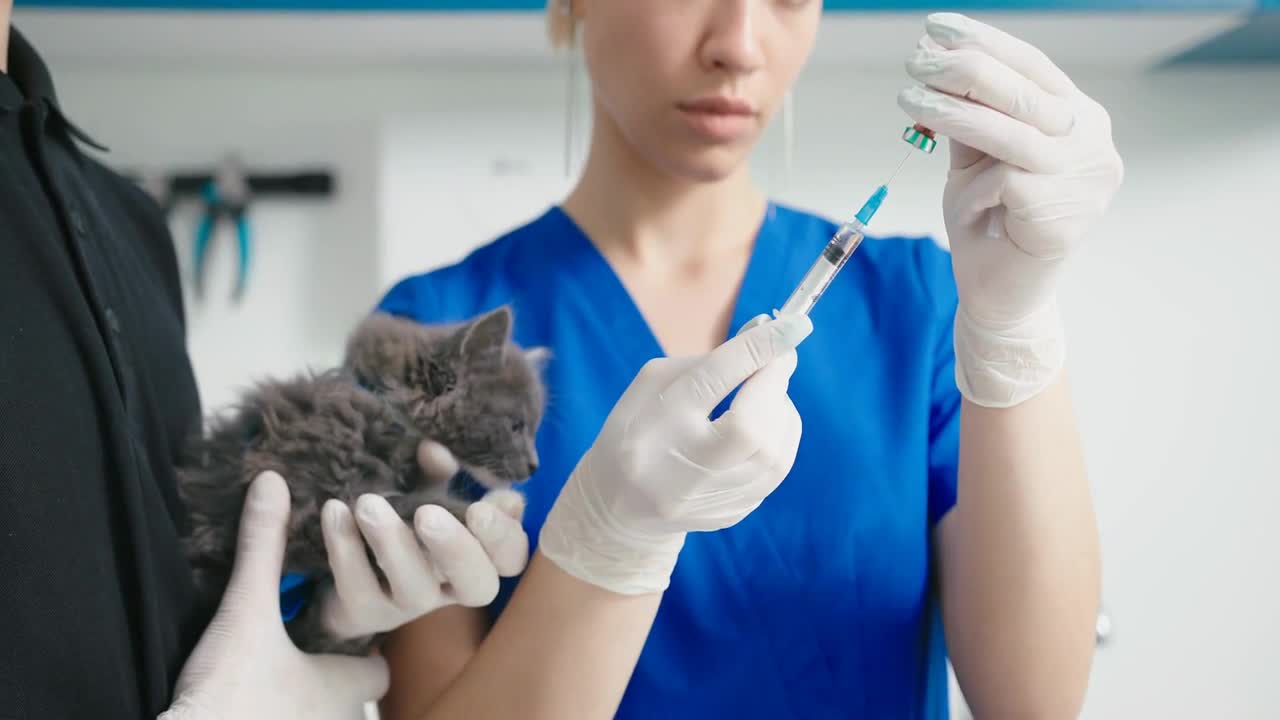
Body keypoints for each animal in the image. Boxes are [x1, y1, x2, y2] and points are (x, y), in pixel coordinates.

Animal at [175, 304, 545, 653]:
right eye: (517, 426)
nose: (534, 466)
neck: (381, 404)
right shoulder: (308, 509)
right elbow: (409, 504)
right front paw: (489, 508)